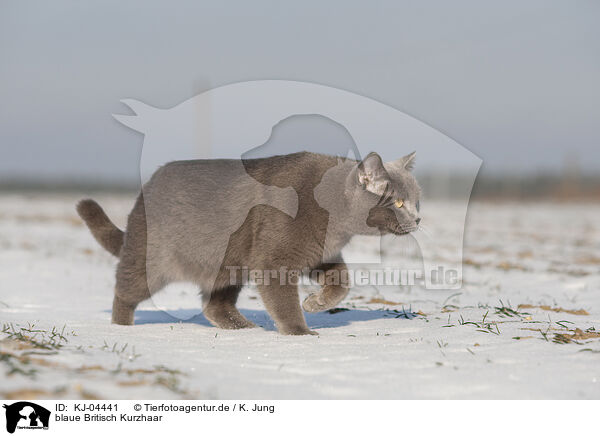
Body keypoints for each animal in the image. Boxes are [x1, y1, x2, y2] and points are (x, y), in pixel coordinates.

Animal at [77, 152, 420, 336]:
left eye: (416, 200)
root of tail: (145, 189)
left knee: (214, 304)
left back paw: (243, 328)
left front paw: (314, 303)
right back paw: (121, 327)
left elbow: (342, 282)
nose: (418, 218)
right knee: (125, 290)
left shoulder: (320, 253)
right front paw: (301, 333)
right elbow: (283, 301)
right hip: (153, 261)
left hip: (229, 265)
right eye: (399, 202)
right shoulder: (275, 259)